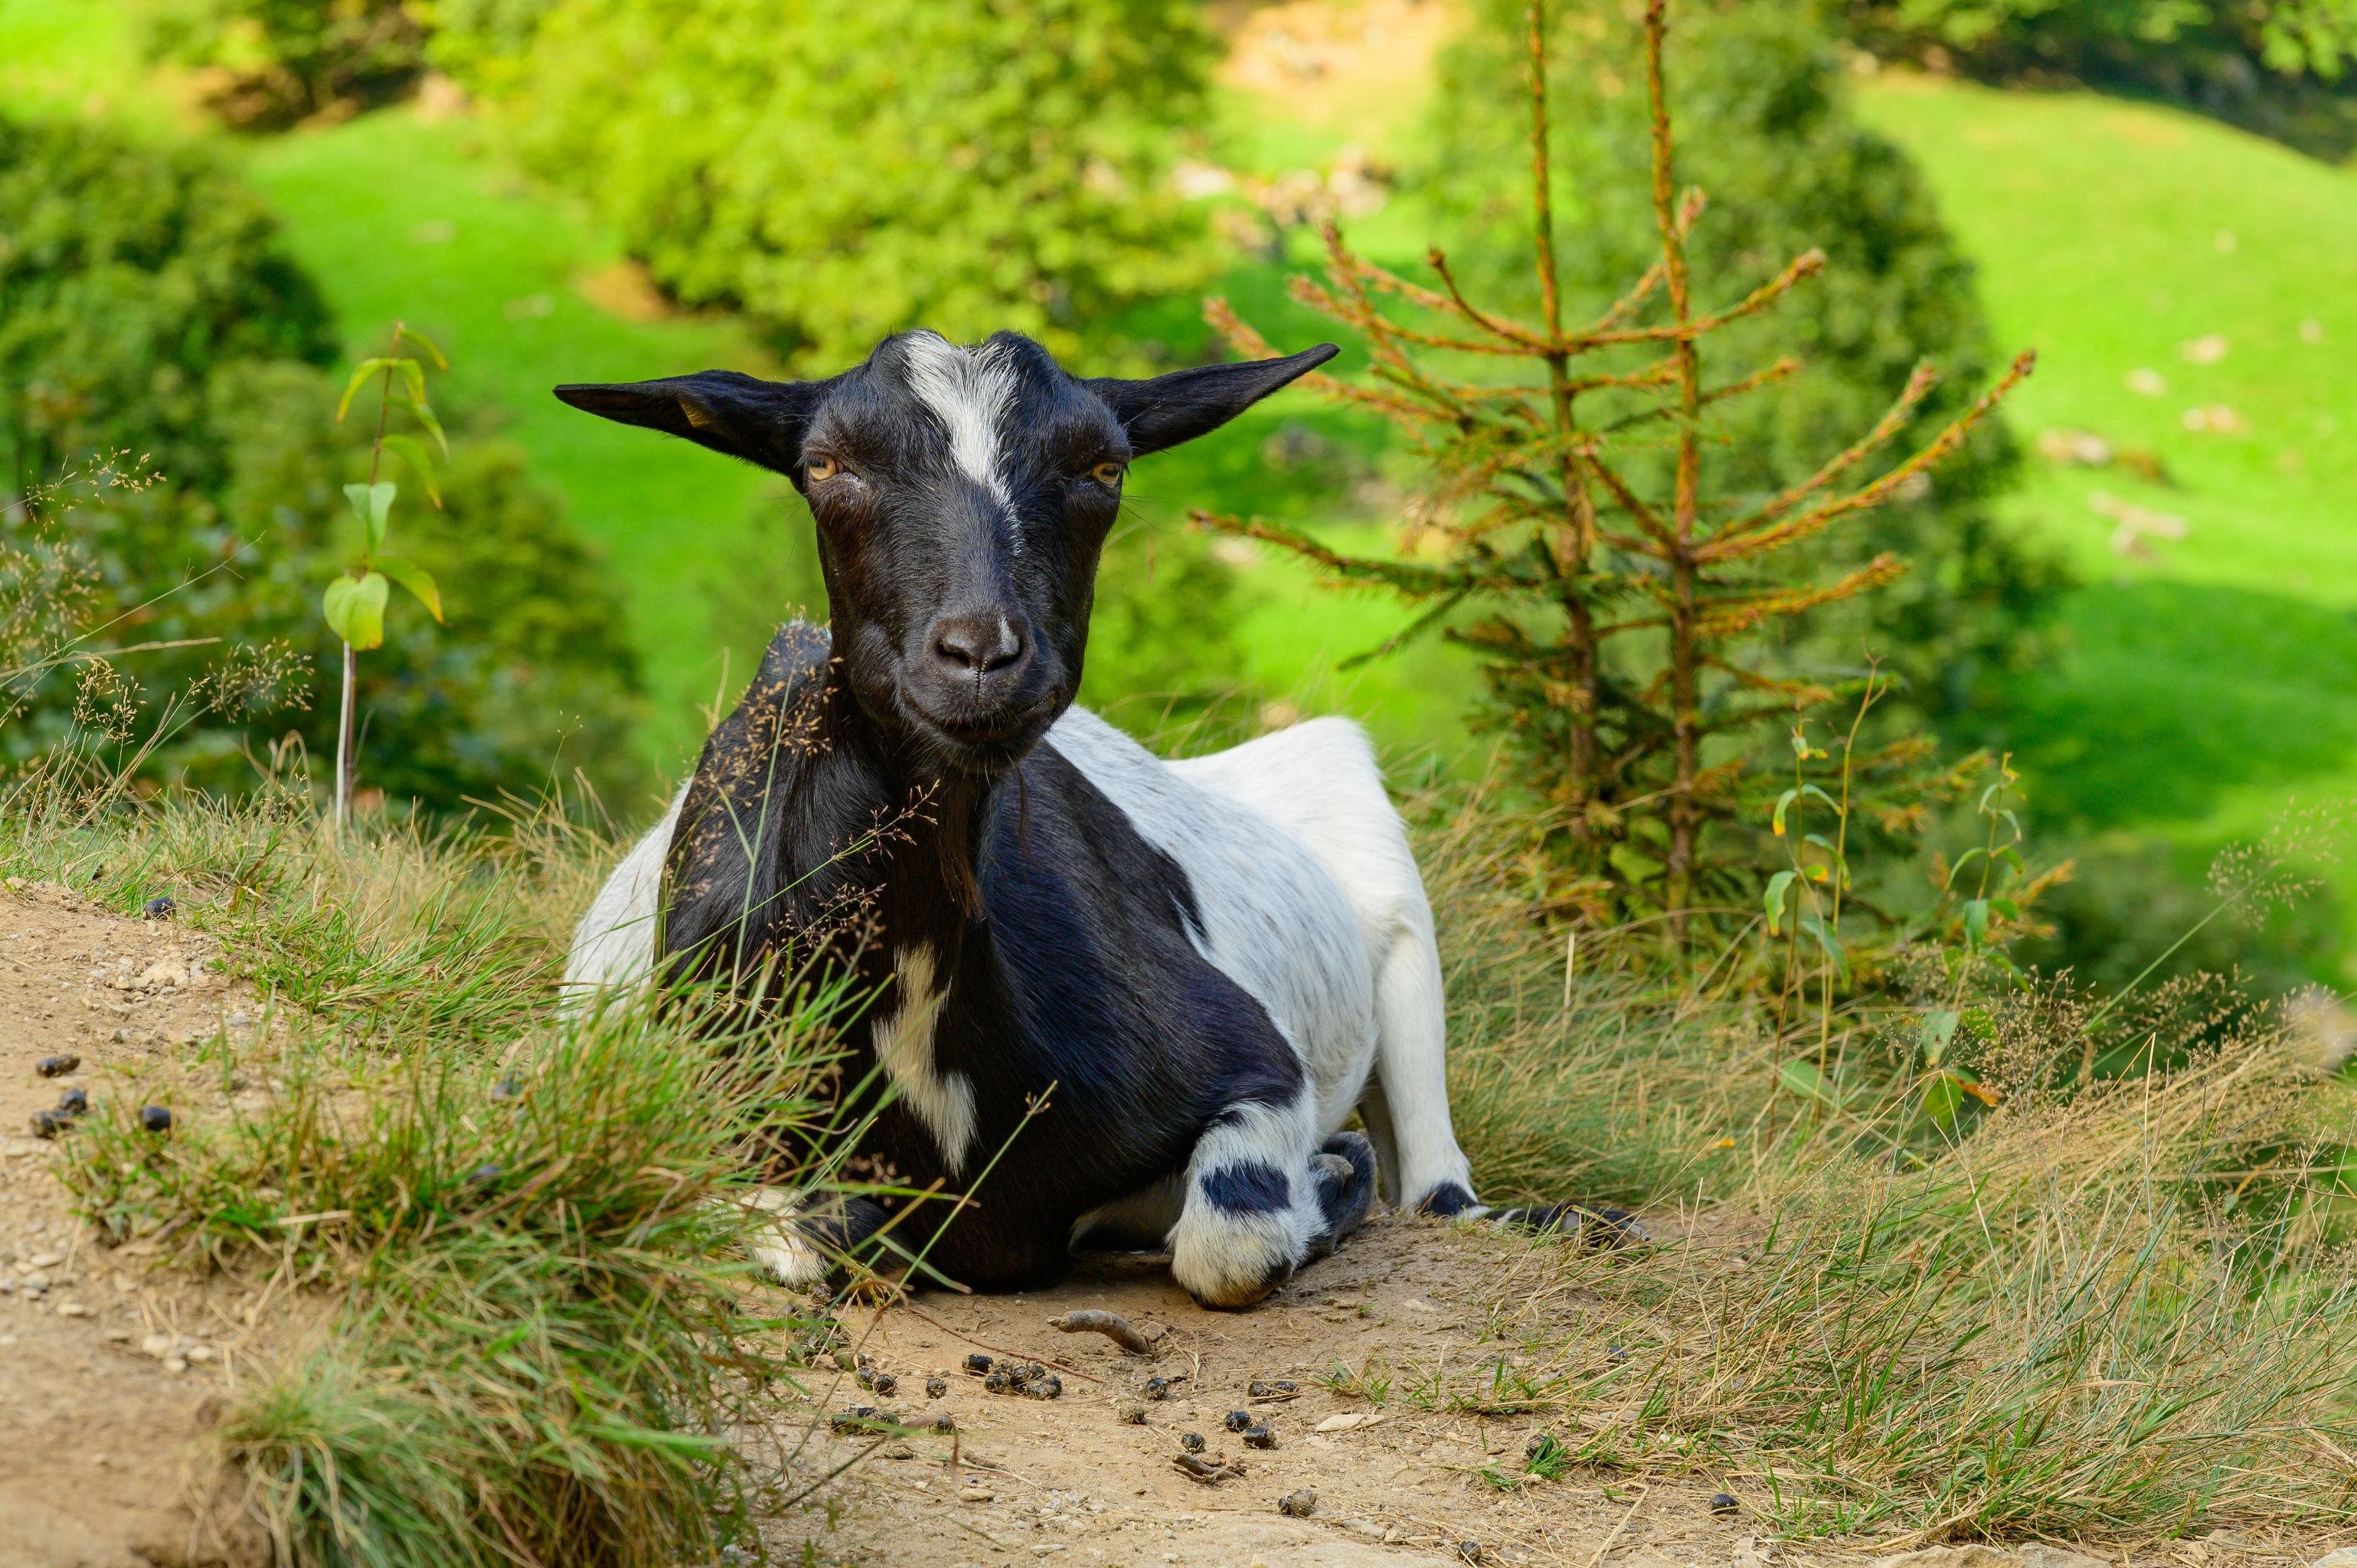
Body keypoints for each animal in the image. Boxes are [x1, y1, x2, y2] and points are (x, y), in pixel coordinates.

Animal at [557, 330, 1599, 1308]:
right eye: (825, 463)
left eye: (1104, 467)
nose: (981, 655)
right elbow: (814, 1229)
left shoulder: (1254, 1058)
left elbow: (1230, 1239)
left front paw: (1327, 1177)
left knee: (1435, 1185)